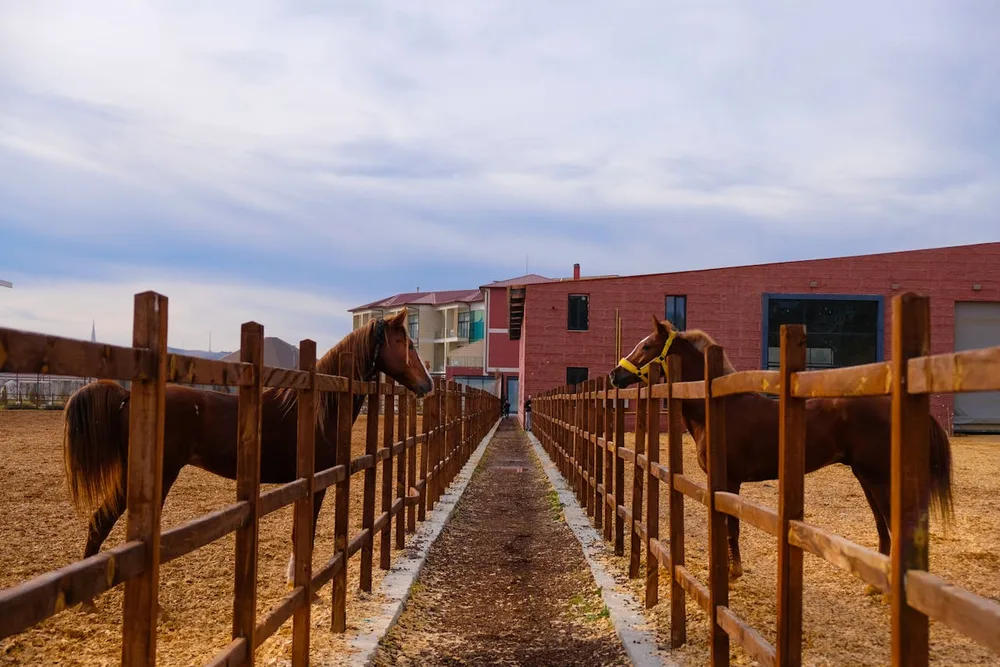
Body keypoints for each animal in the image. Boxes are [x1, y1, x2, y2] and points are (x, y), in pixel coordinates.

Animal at [61, 308, 433, 611]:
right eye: (406, 343)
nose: (427, 383)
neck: (318, 408)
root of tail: (126, 395)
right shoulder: (314, 483)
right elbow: (305, 532)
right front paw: (304, 586)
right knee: (102, 521)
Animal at [609, 315, 954, 593]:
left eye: (647, 346)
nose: (615, 375)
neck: (718, 408)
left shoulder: (728, 482)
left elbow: (731, 526)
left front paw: (732, 572)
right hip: (867, 477)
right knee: (883, 528)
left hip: (878, 478)